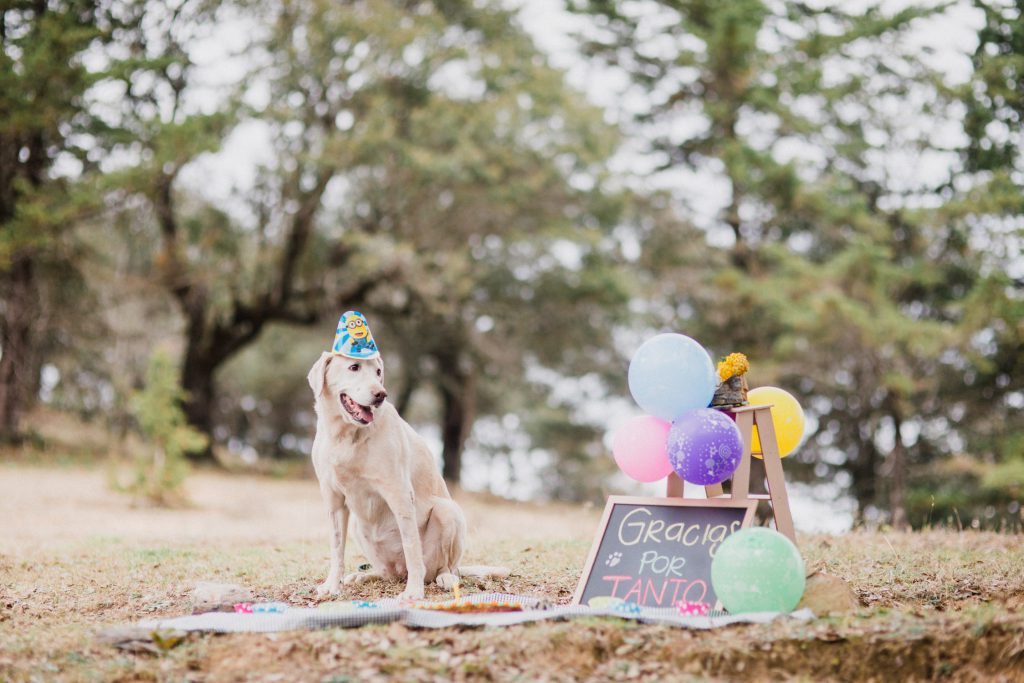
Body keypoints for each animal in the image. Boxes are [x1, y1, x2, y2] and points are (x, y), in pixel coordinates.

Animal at [305, 350, 493, 602]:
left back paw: (444, 578)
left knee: (444, 567)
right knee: (387, 573)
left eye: (378, 372)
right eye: (354, 367)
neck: (345, 435)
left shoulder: (399, 493)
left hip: (448, 511)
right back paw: (364, 575)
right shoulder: (334, 499)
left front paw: (413, 591)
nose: (380, 395)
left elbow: (411, 546)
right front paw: (332, 586)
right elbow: (336, 548)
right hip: (358, 527)